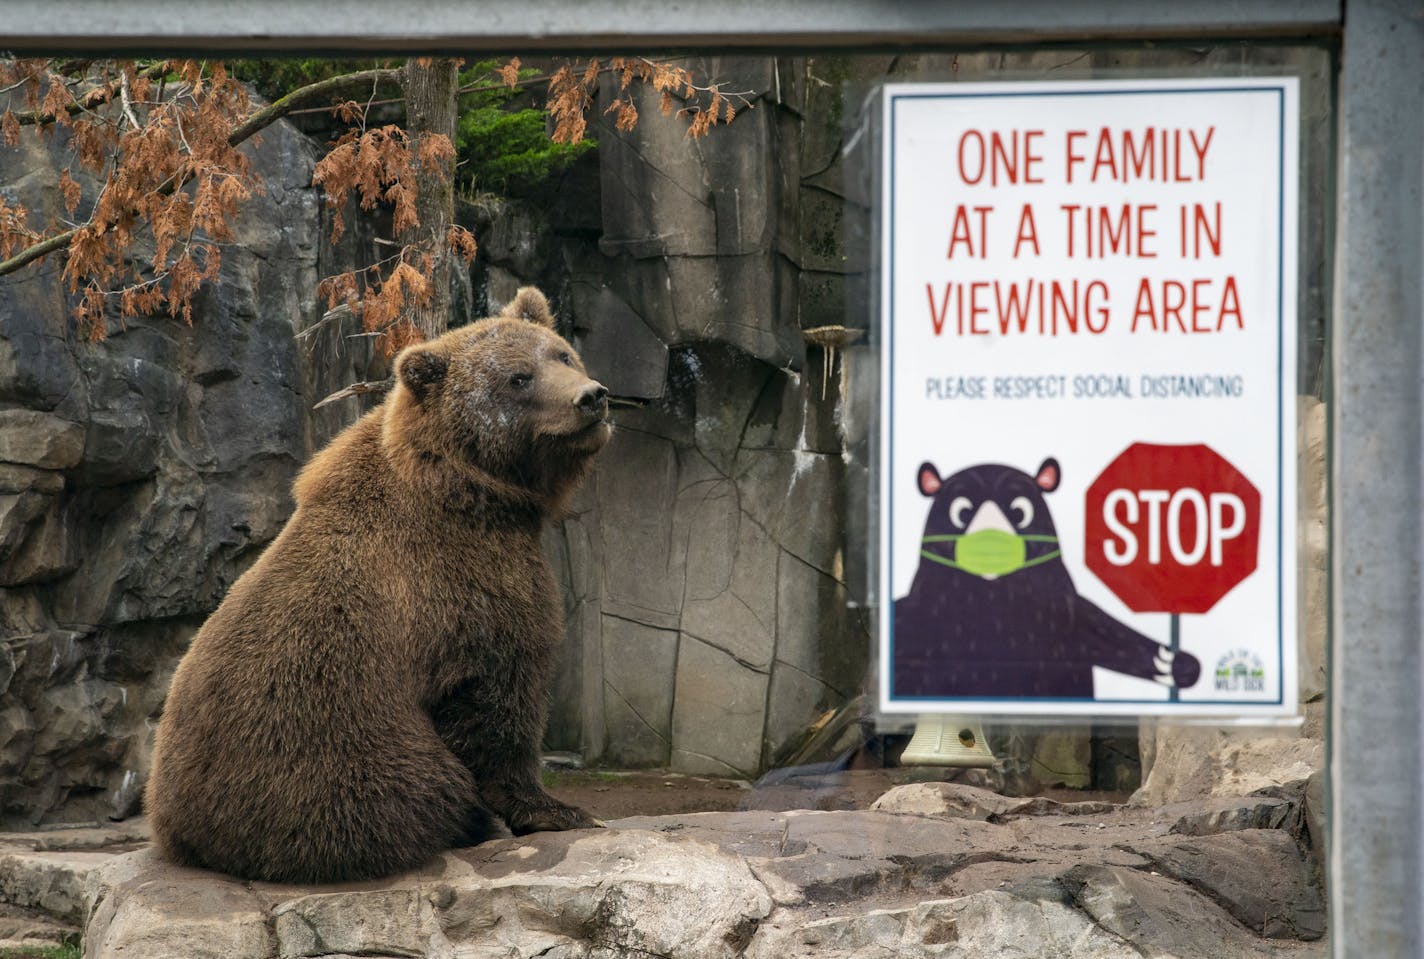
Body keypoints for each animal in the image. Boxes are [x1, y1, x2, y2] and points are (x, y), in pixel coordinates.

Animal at [145, 286, 612, 883]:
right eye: (518, 378)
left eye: (562, 354)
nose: (591, 397)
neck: (475, 492)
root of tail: (177, 832)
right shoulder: (465, 580)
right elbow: (498, 693)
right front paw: (557, 809)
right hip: (338, 761)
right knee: (404, 794)